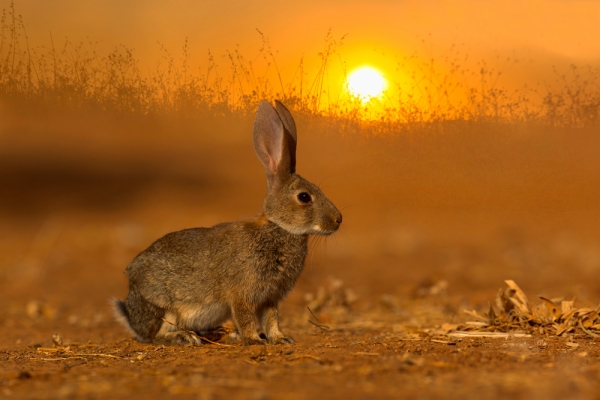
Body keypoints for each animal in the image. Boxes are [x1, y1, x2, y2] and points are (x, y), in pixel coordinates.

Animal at [111, 98, 338, 346]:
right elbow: (246, 316)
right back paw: (185, 337)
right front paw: (254, 340)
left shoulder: (271, 297)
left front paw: (280, 339)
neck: (278, 228)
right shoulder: (243, 293)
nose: (338, 220)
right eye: (304, 197)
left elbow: (272, 319)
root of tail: (131, 315)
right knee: (157, 334)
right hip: (164, 306)